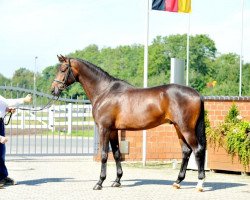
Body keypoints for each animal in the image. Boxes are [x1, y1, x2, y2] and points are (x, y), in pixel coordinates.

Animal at [50, 55, 205, 192]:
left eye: (63, 69)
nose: (53, 89)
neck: (104, 92)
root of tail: (197, 94)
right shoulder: (113, 130)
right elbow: (117, 153)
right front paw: (117, 181)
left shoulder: (104, 129)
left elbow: (104, 155)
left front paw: (99, 182)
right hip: (178, 128)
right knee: (186, 151)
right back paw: (177, 181)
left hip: (186, 129)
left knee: (197, 150)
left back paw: (200, 184)